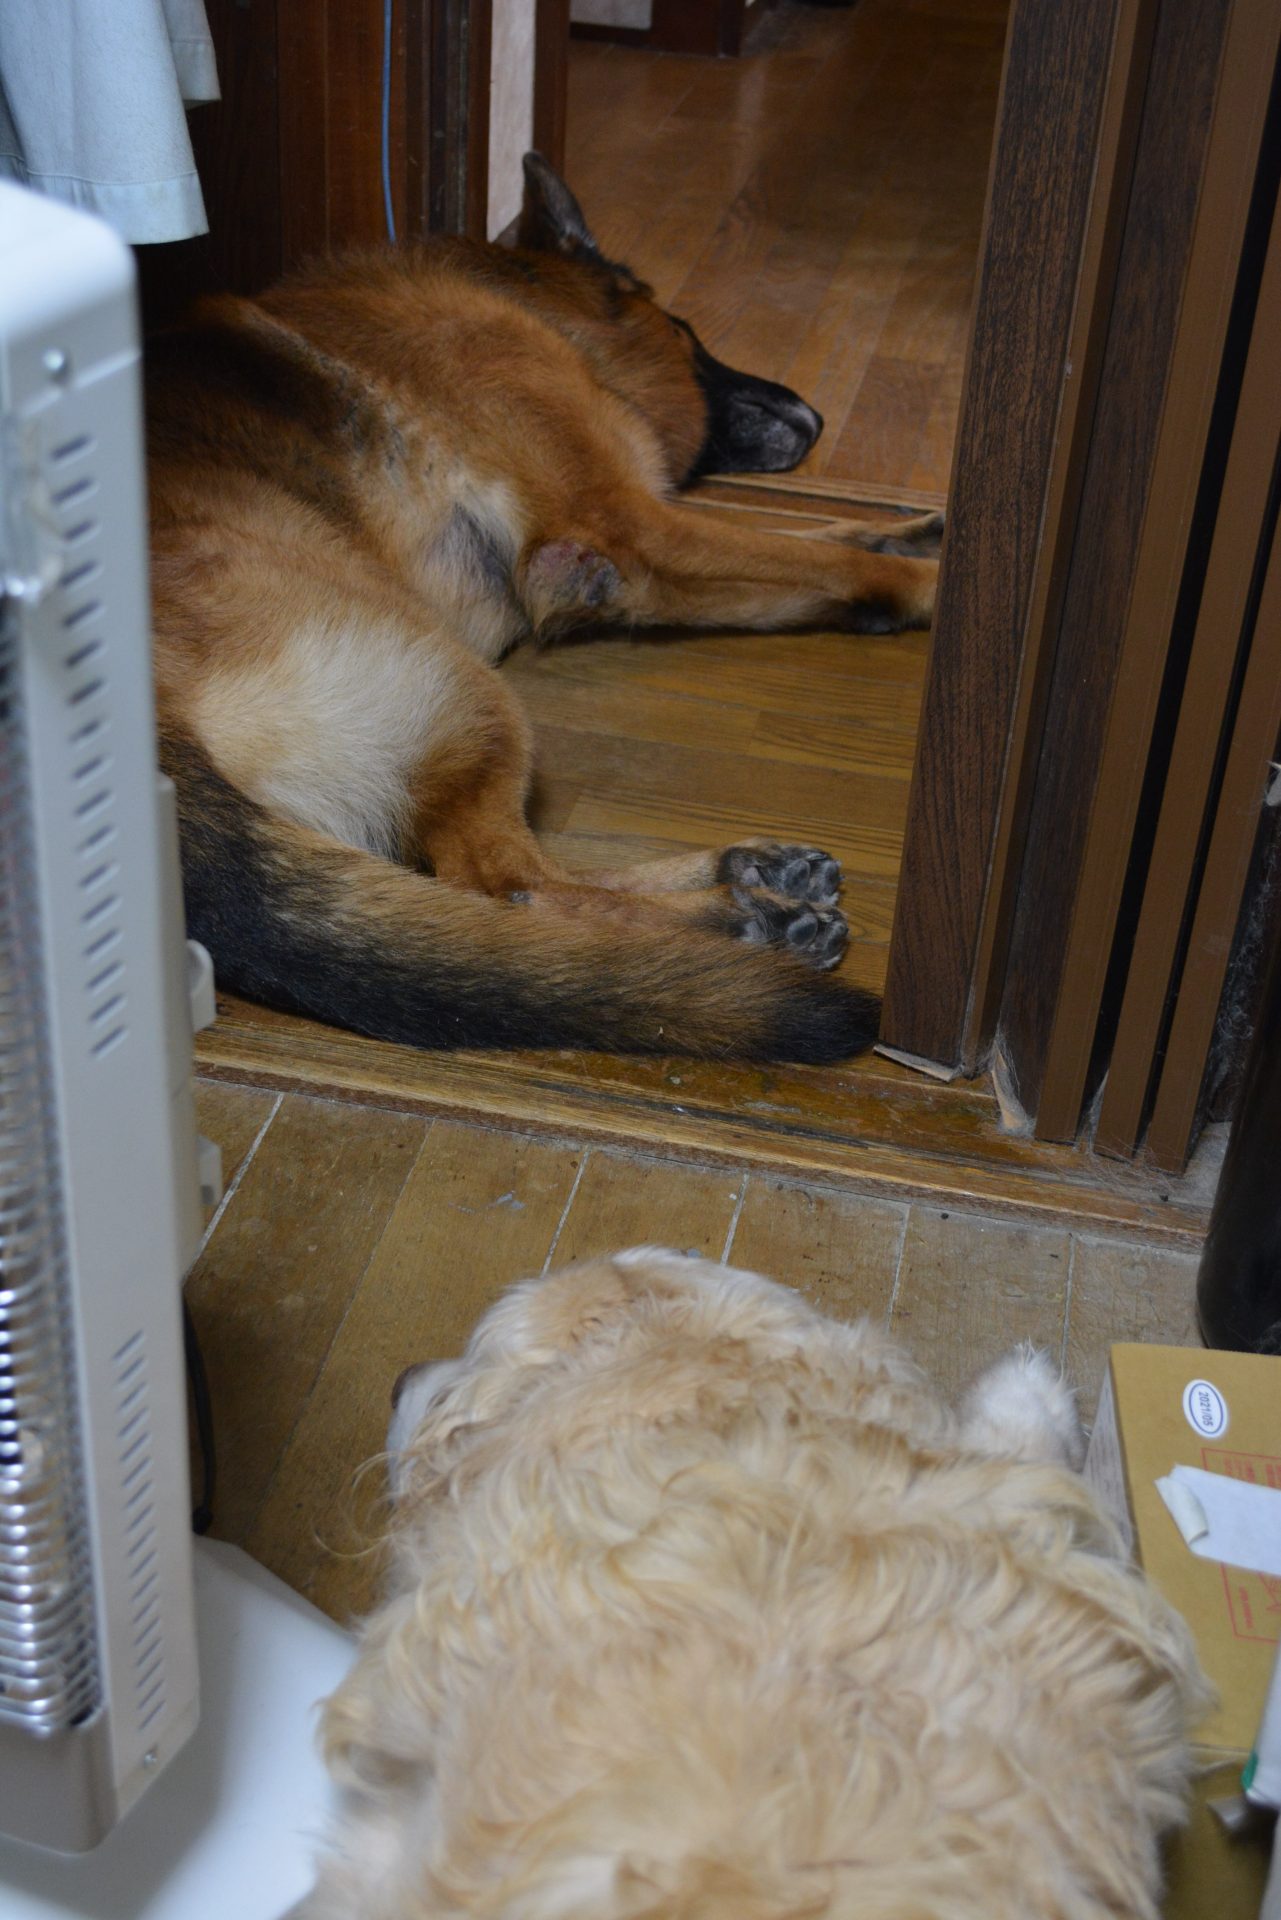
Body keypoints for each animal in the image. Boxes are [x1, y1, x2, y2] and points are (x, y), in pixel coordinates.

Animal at [150, 155, 941, 1067]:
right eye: (685, 331)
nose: (813, 417)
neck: (525, 303)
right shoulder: (634, 528)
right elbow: (825, 558)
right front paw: (936, 585)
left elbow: (822, 540)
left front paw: (925, 534)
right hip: (474, 697)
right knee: (513, 894)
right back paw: (740, 919)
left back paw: (749, 875)